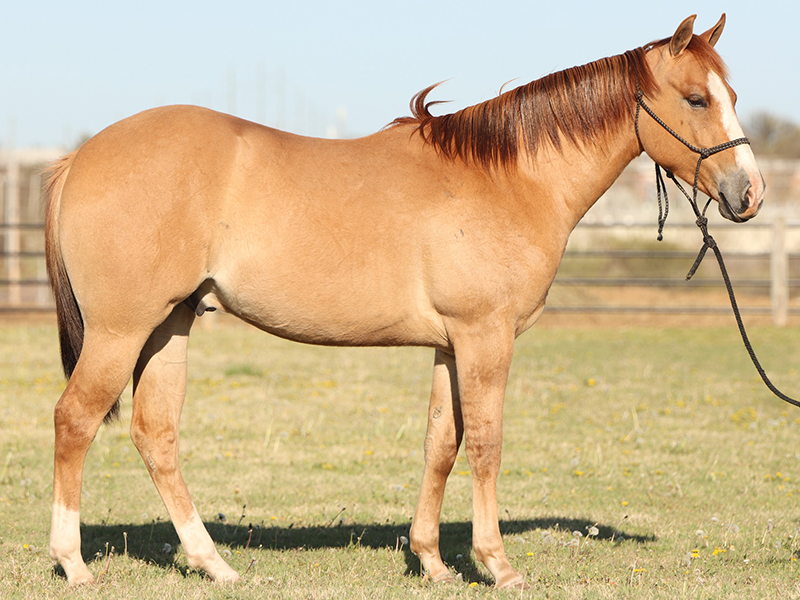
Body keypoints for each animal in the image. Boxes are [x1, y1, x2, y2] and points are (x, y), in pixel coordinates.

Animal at [43, 14, 764, 592]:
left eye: (732, 94)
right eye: (696, 98)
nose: (749, 193)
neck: (509, 178)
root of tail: (80, 158)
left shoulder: (450, 345)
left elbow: (440, 444)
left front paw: (433, 562)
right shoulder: (484, 337)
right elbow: (486, 444)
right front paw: (497, 565)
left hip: (169, 325)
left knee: (155, 434)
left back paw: (213, 563)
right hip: (121, 330)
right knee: (75, 421)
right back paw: (74, 564)